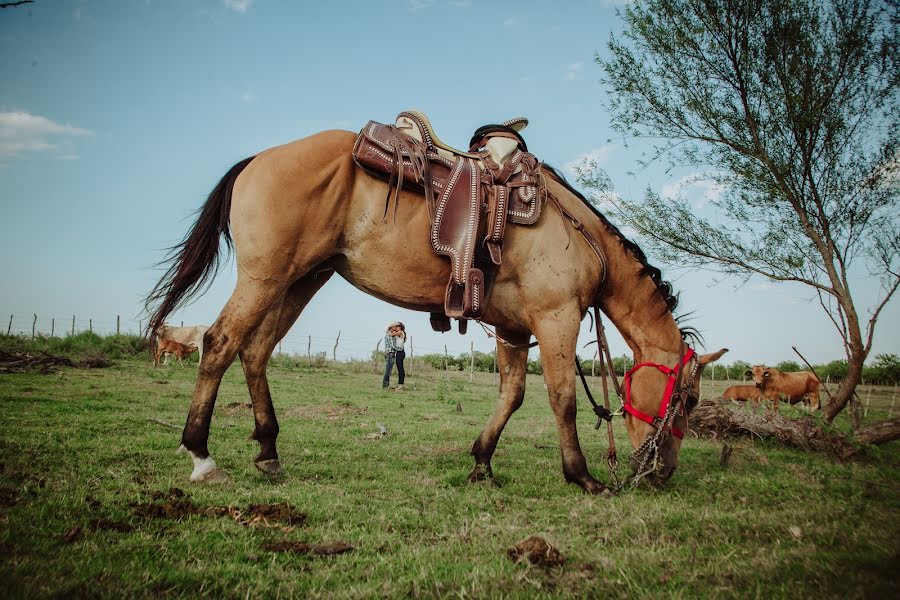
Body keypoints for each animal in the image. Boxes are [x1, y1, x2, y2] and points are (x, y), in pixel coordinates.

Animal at [144, 127, 728, 492]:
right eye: (689, 399)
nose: (662, 473)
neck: (578, 234)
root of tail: (259, 159)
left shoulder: (513, 329)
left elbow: (513, 395)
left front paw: (482, 463)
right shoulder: (555, 317)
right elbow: (561, 398)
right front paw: (581, 476)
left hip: (299, 279)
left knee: (256, 351)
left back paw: (268, 453)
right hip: (264, 278)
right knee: (220, 343)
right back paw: (202, 456)